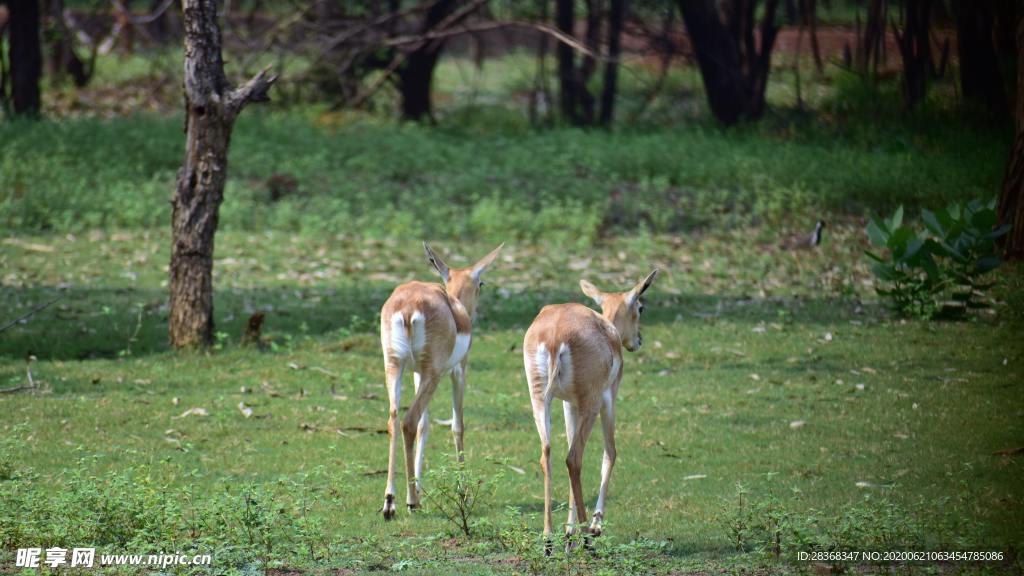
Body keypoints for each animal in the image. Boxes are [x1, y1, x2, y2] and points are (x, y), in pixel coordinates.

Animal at [378, 239, 501, 518]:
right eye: (481, 283)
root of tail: (408, 306)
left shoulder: (417, 372)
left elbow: (426, 426)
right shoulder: (458, 372)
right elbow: (458, 425)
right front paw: (463, 492)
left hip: (395, 366)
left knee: (394, 419)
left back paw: (390, 501)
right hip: (433, 373)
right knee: (409, 421)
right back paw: (411, 501)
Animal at [524, 268, 659, 545]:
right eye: (640, 307)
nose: (639, 340)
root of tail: (556, 335)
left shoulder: (568, 403)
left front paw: (569, 530)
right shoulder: (608, 398)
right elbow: (611, 452)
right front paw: (594, 526)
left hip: (540, 399)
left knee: (548, 454)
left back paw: (548, 538)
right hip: (592, 403)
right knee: (574, 458)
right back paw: (588, 534)